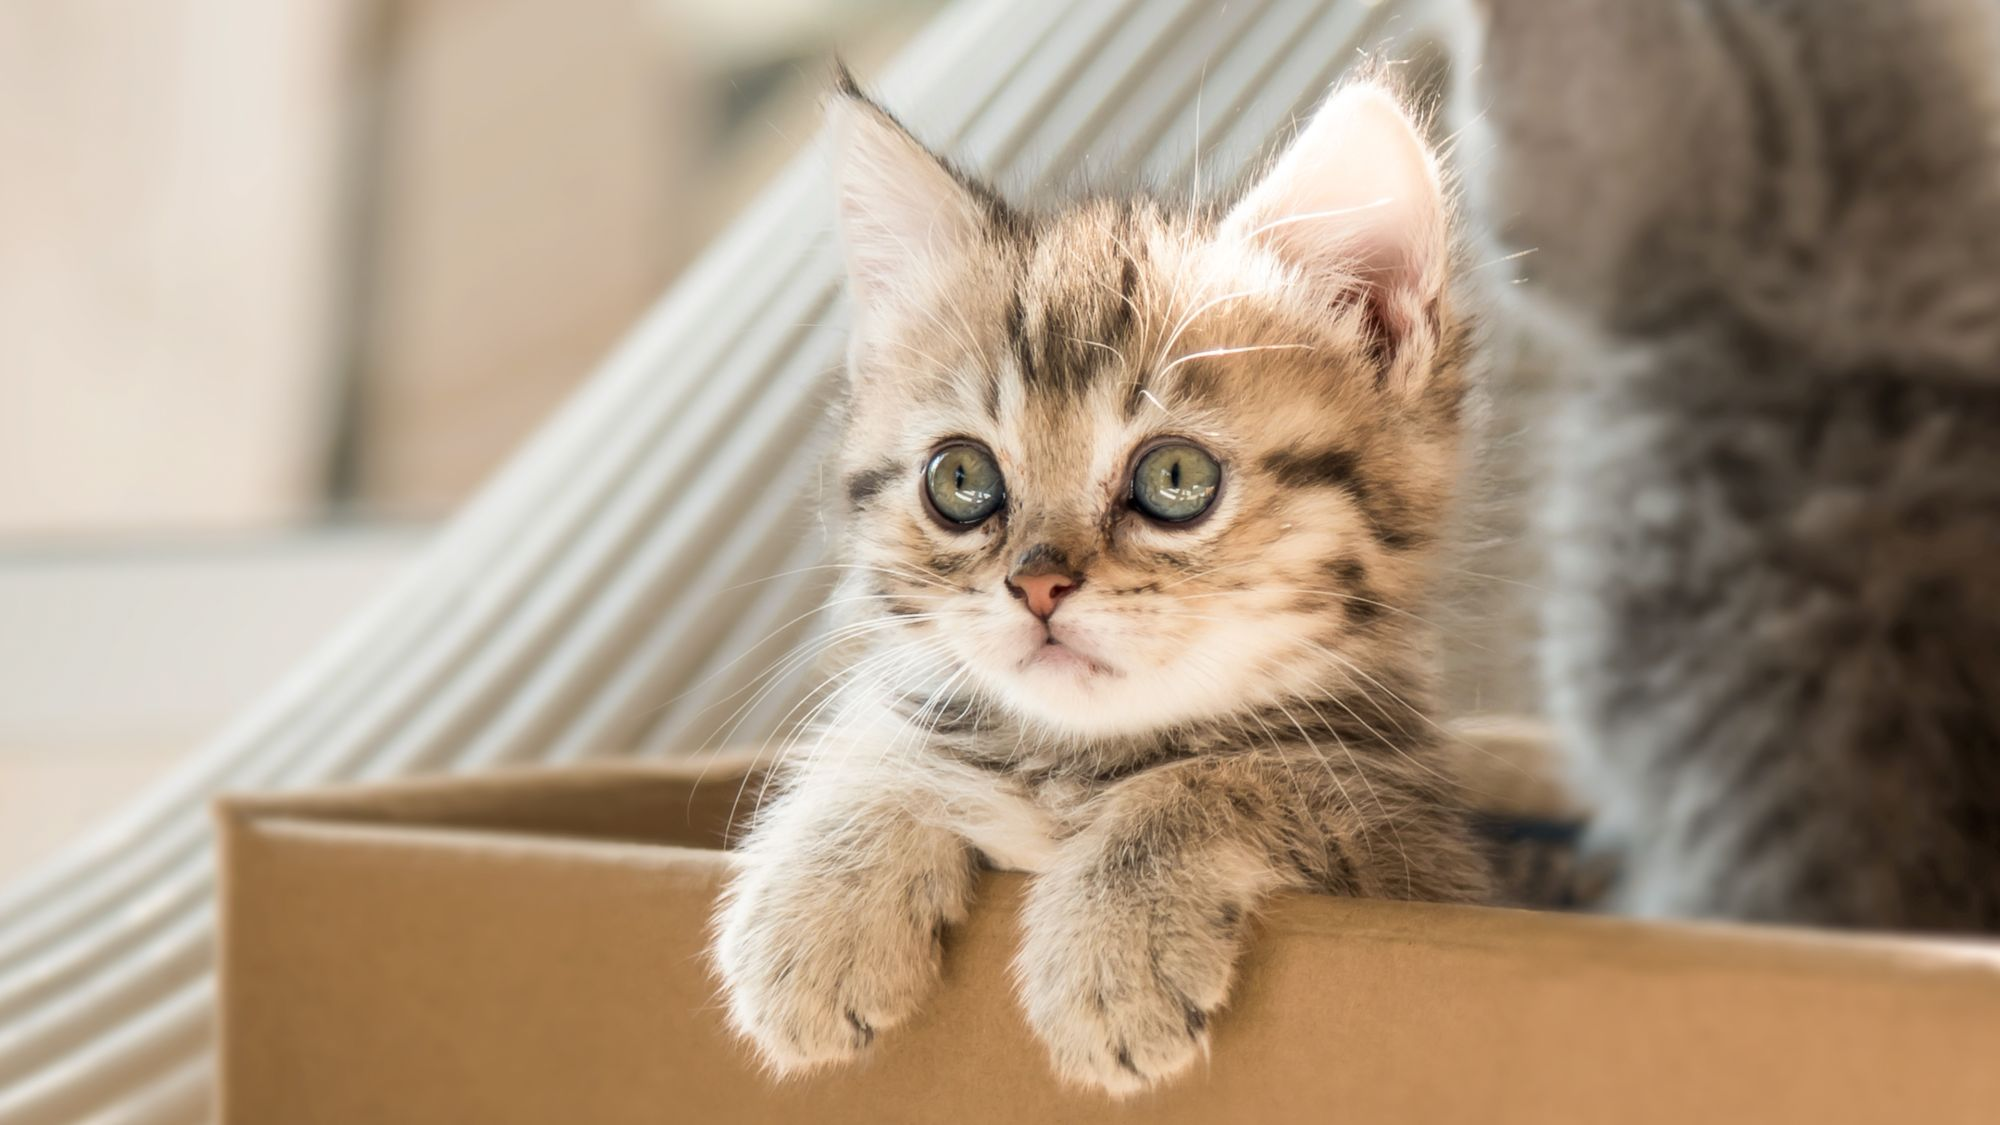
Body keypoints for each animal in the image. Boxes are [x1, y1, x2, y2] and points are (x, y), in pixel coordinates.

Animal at [712, 72, 1496, 1096]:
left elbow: (1242, 775)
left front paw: (1116, 942)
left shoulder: (1416, 857)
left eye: (1177, 478)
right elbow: (895, 734)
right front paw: (823, 893)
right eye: (960, 479)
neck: (1076, 764)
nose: (1038, 585)